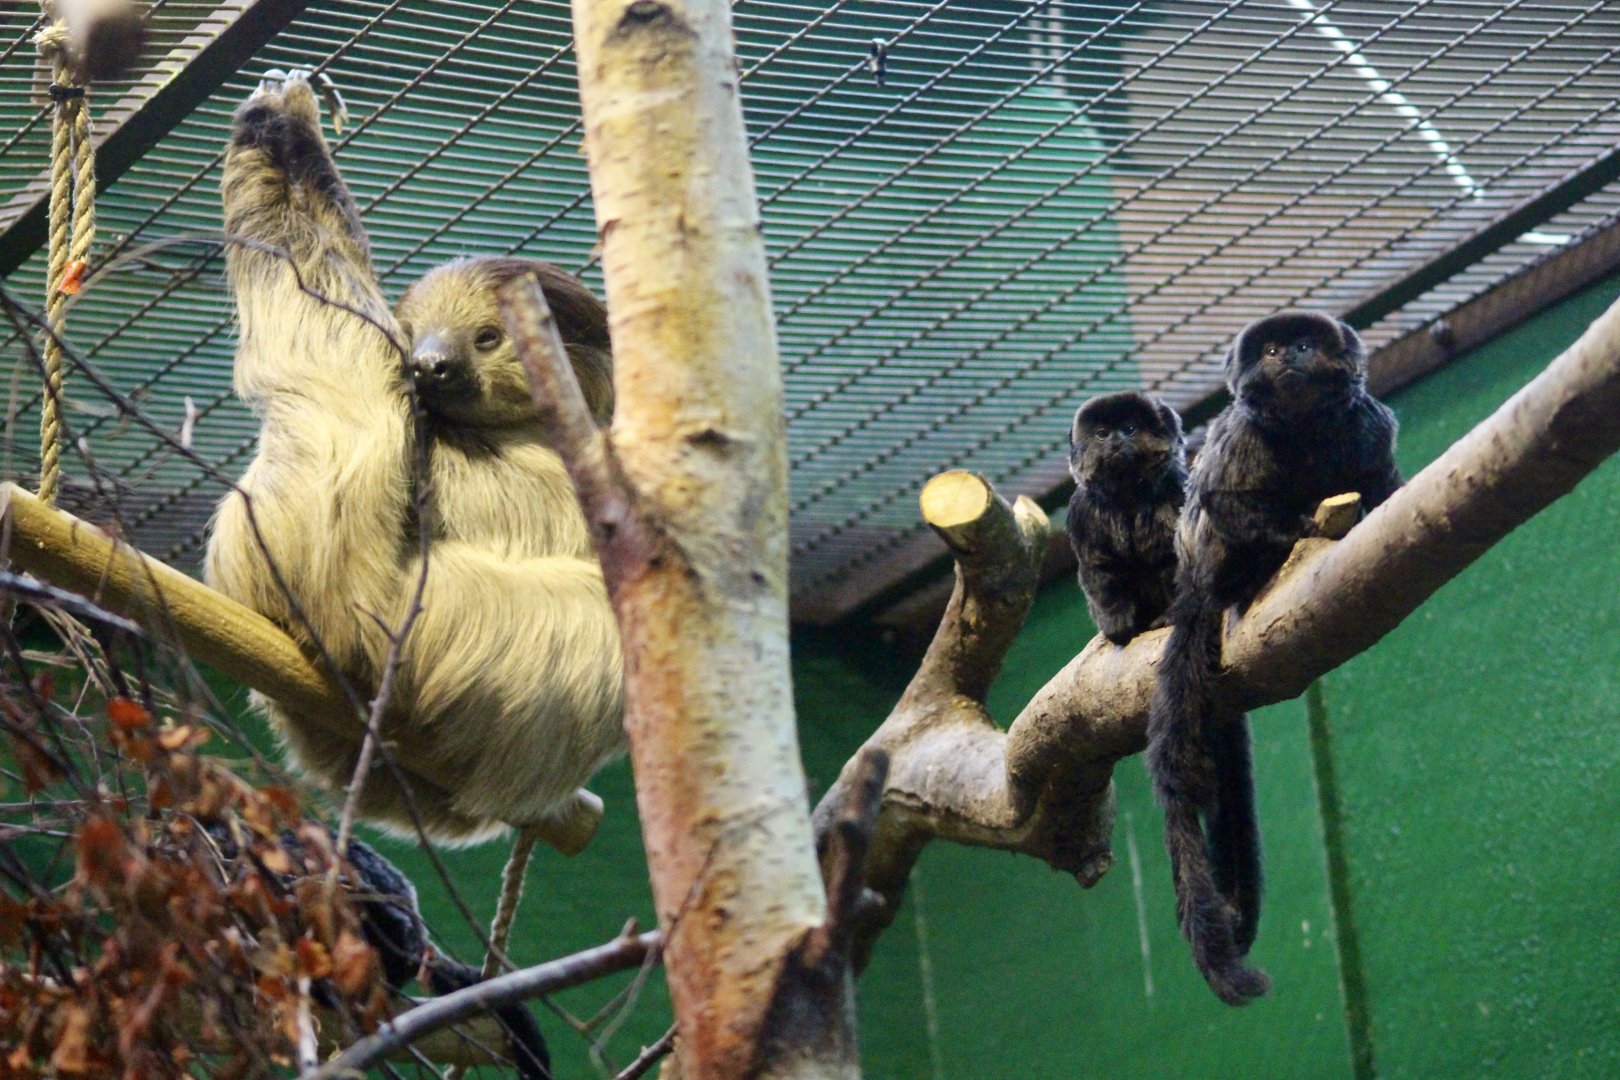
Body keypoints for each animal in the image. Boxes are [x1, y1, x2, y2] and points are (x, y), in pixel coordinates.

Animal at [1065, 391, 1187, 646]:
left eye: (1129, 429)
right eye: (1102, 433)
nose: (1115, 442)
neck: (1128, 494)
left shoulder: (1176, 487)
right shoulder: (1082, 509)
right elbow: (1099, 566)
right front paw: (1116, 623)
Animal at [1146, 311, 1402, 1005]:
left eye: (1305, 345)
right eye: (1268, 350)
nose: (1287, 354)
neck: (1305, 430)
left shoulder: (1367, 425)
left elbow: (1382, 477)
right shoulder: (1241, 441)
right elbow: (1225, 499)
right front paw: (1300, 527)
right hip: (1204, 564)